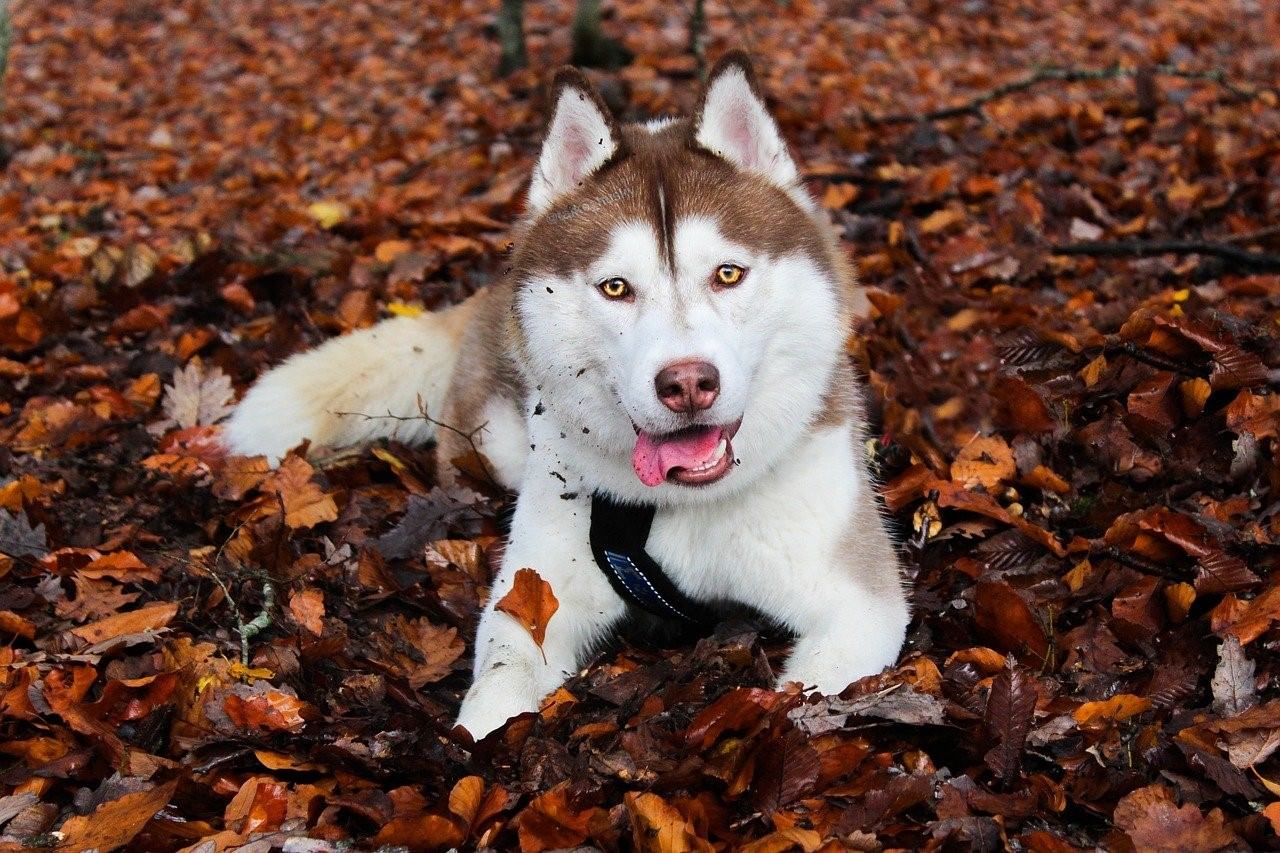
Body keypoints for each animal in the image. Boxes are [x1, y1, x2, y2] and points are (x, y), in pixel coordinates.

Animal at [230, 53, 911, 732]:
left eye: (727, 274)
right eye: (616, 288)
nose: (687, 383)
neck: (685, 507)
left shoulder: (860, 604)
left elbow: (811, 694)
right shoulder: (536, 592)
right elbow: (499, 682)